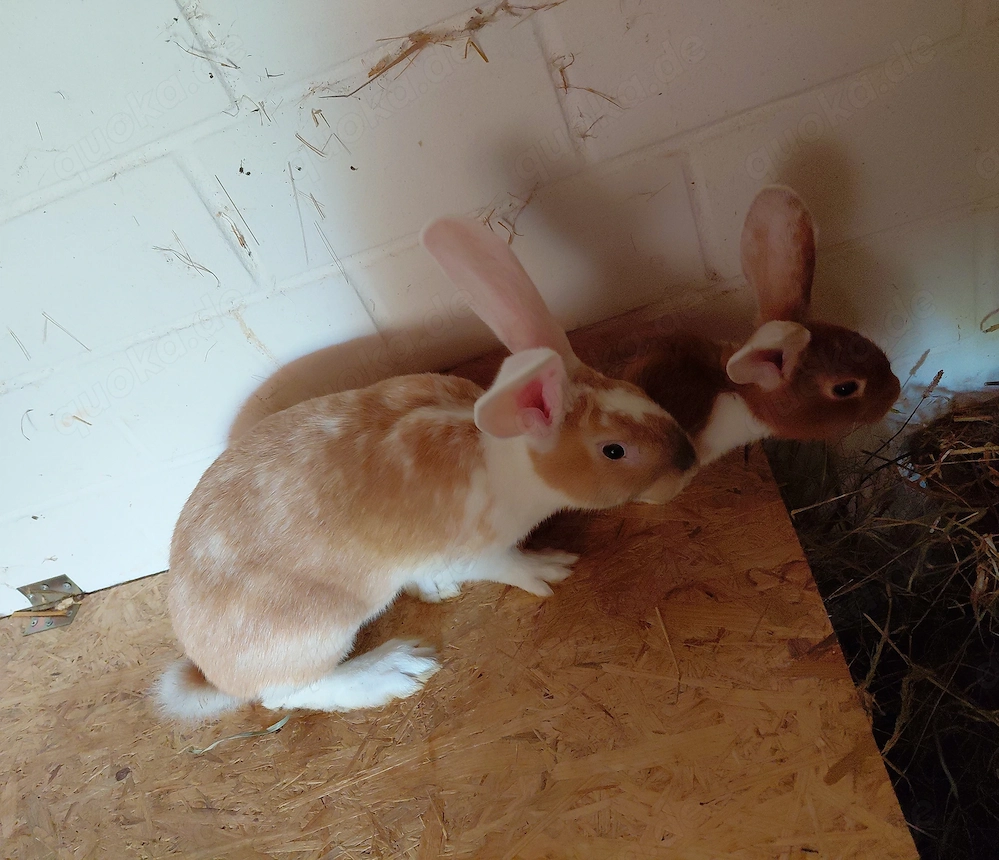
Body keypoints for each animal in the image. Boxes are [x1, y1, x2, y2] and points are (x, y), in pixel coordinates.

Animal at [154, 216, 698, 722]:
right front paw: (550, 569)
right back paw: (394, 670)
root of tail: (212, 669)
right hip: (315, 627)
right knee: (287, 693)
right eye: (614, 451)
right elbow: (509, 567)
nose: (689, 463)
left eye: (640, 393)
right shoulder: (481, 552)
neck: (505, 457)